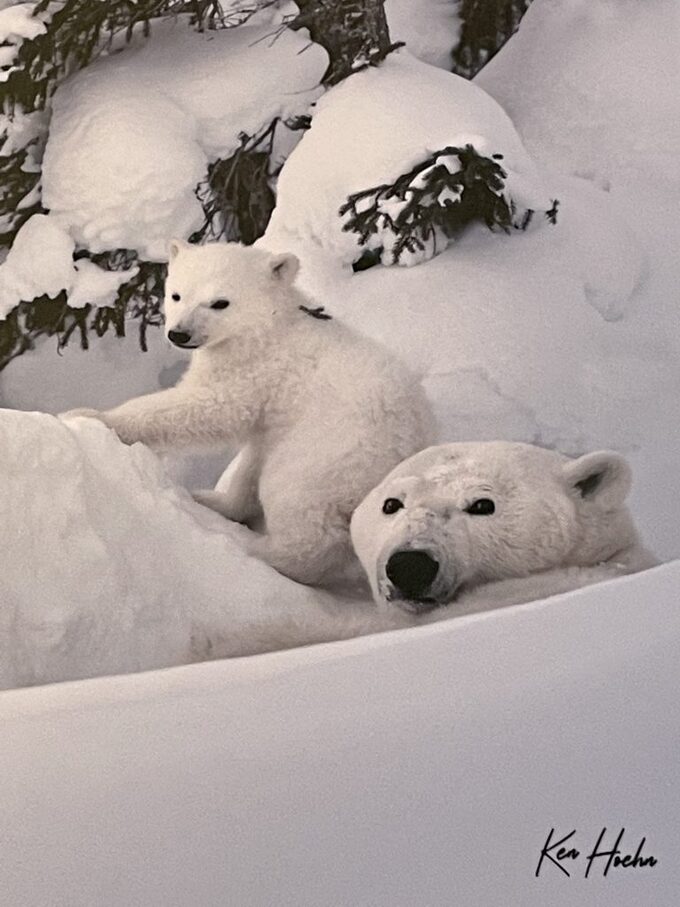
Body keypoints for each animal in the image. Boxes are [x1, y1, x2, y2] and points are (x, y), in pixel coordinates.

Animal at [65, 241, 436, 580]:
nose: (179, 334)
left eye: (220, 302)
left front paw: (88, 416)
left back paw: (261, 552)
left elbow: (207, 407)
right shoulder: (270, 411)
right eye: (177, 295)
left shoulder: (255, 370)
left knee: (300, 506)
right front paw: (220, 501)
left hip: (329, 451)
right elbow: (251, 455)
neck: (269, 326)